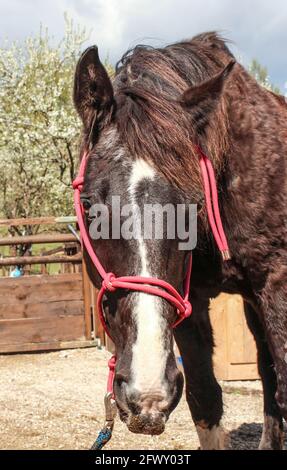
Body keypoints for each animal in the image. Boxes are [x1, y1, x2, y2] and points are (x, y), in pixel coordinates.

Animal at [73, 31, 287, 450]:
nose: (146, 392)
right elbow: (205, 398)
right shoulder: (188, 300)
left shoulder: (277, 281)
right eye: (88, 204)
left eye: (194, 204)